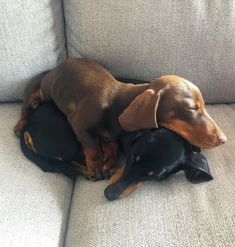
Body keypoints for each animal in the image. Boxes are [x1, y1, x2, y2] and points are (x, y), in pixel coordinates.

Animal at [13, 58, 227, 180]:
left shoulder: (110, 136)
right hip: (46, 93)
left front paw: (109, 163)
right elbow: (92, 147)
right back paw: (20, 123)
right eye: (192, 108)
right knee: (31, 101)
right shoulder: (79, 123)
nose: (223, 139)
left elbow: (110, 147)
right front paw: (96, 167)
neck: (116, 105)